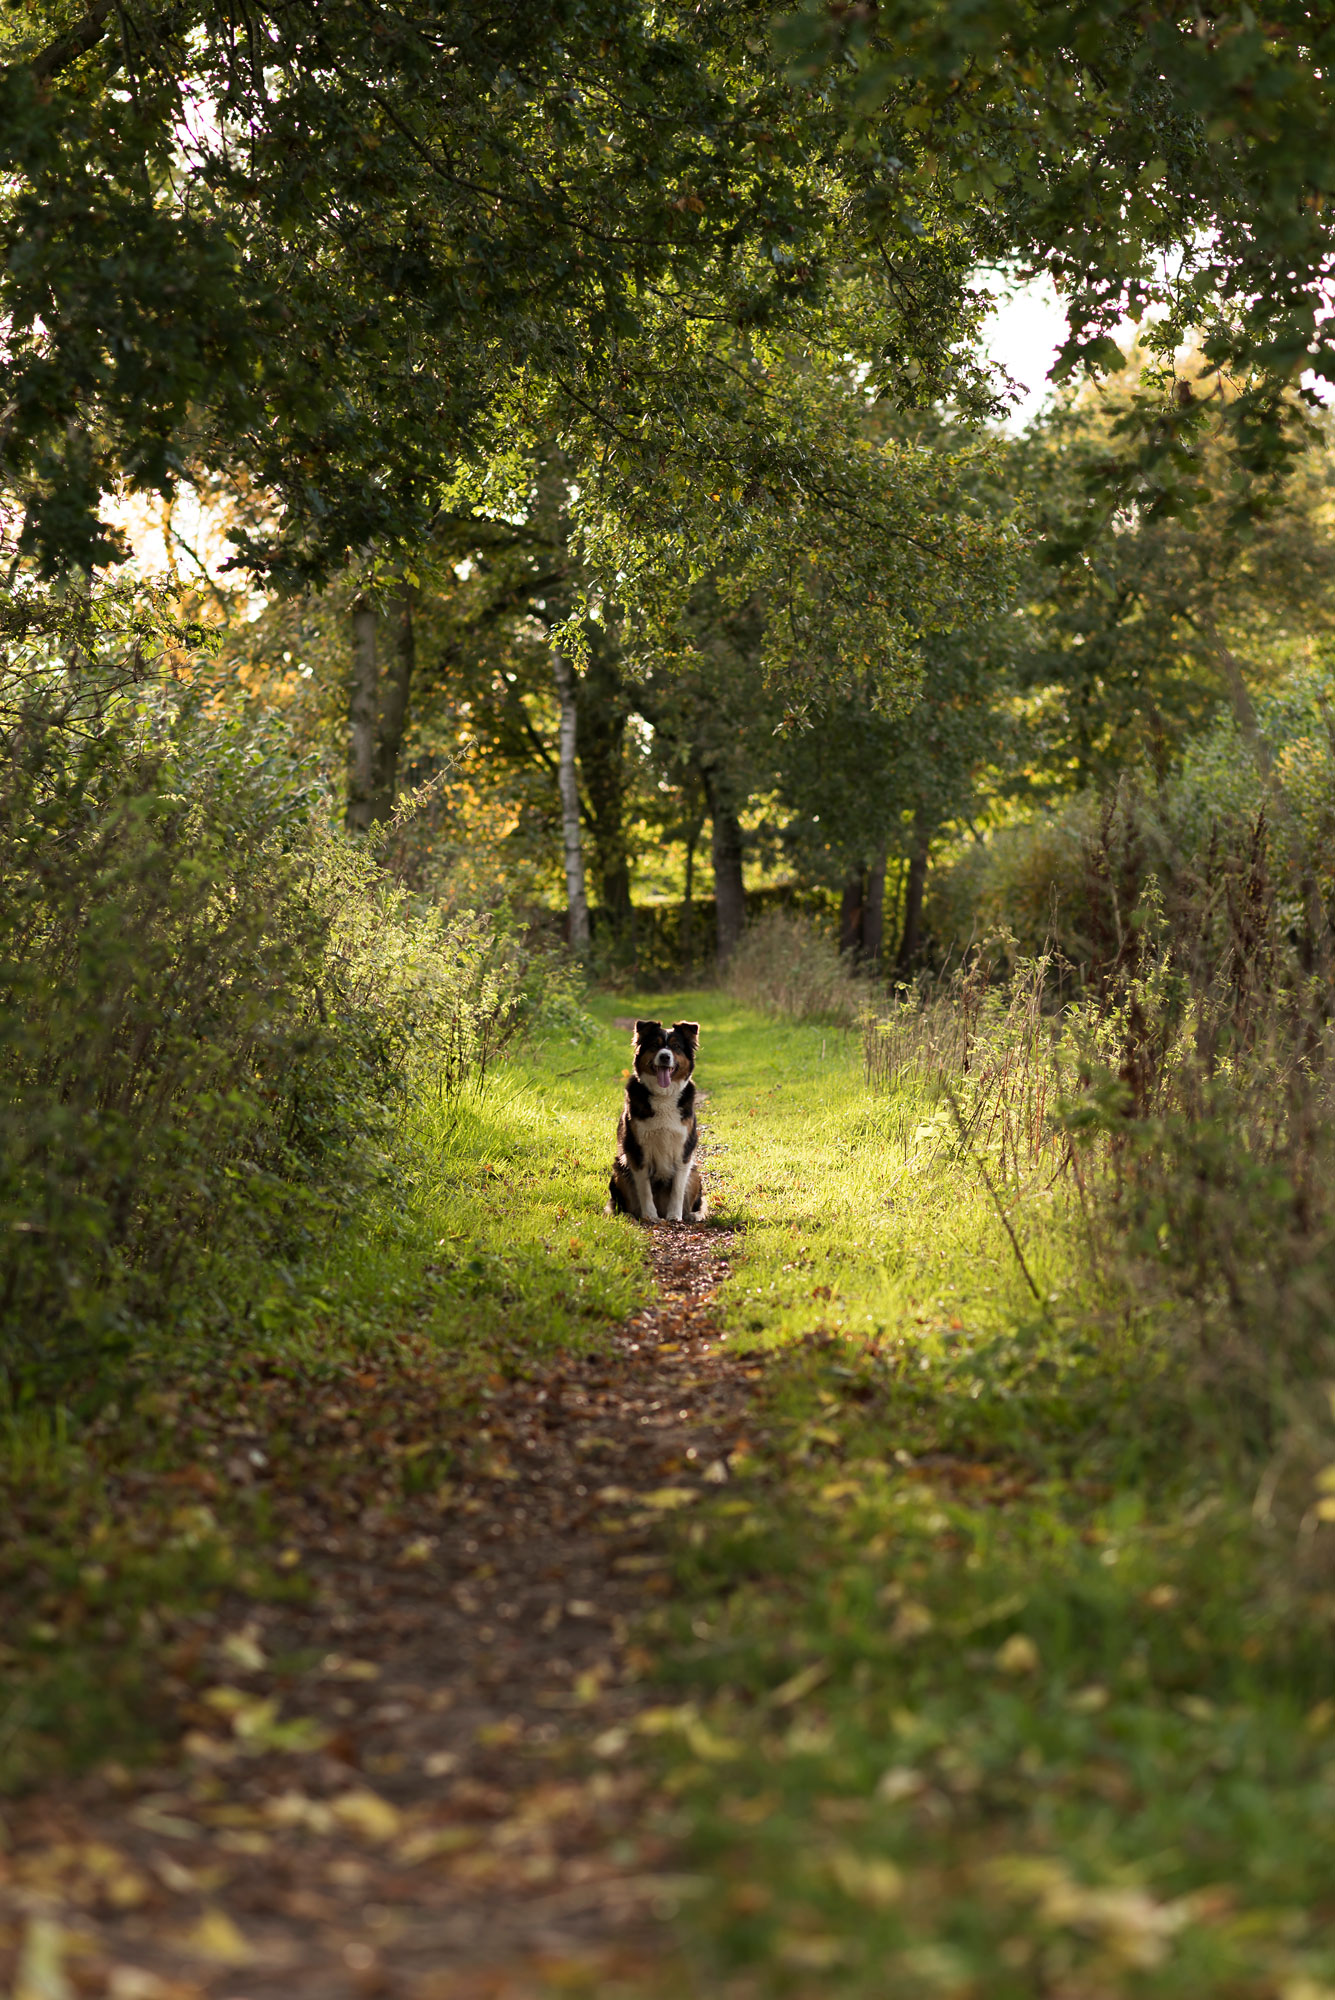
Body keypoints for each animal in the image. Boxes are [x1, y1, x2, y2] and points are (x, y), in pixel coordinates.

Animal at [607, 1016, 703, 1216]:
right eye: (654, 1045)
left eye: (676, 1047)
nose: (665, 1056)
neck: (663, 1095)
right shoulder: (637, 1147)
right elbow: (644, 1188)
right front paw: (650, 1216)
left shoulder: (684, 1147)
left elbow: (677, 1189)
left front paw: (674, 1216)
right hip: (620, 1167)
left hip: (695, 1172)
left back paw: (691, 1216)